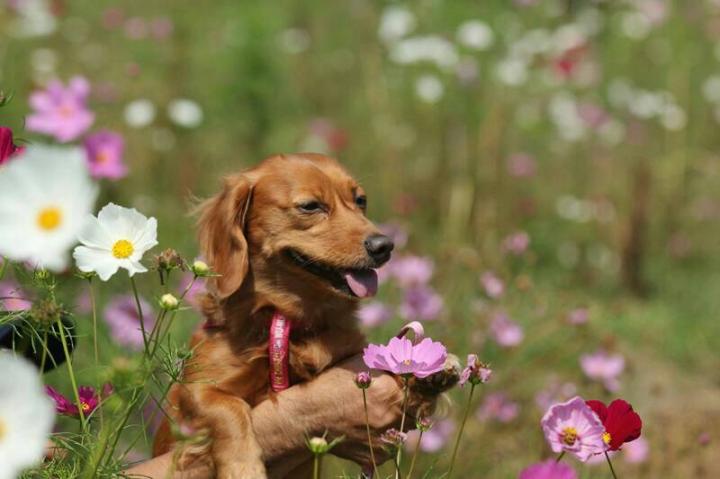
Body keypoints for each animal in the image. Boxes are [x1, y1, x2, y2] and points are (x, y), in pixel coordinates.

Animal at [153, 155, 456, 479]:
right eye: (311, 206)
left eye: (360, 200)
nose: (384, 245)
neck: (288, 321)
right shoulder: (195, 390)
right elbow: (229, 410)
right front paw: (243, 466)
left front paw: (431, 369)